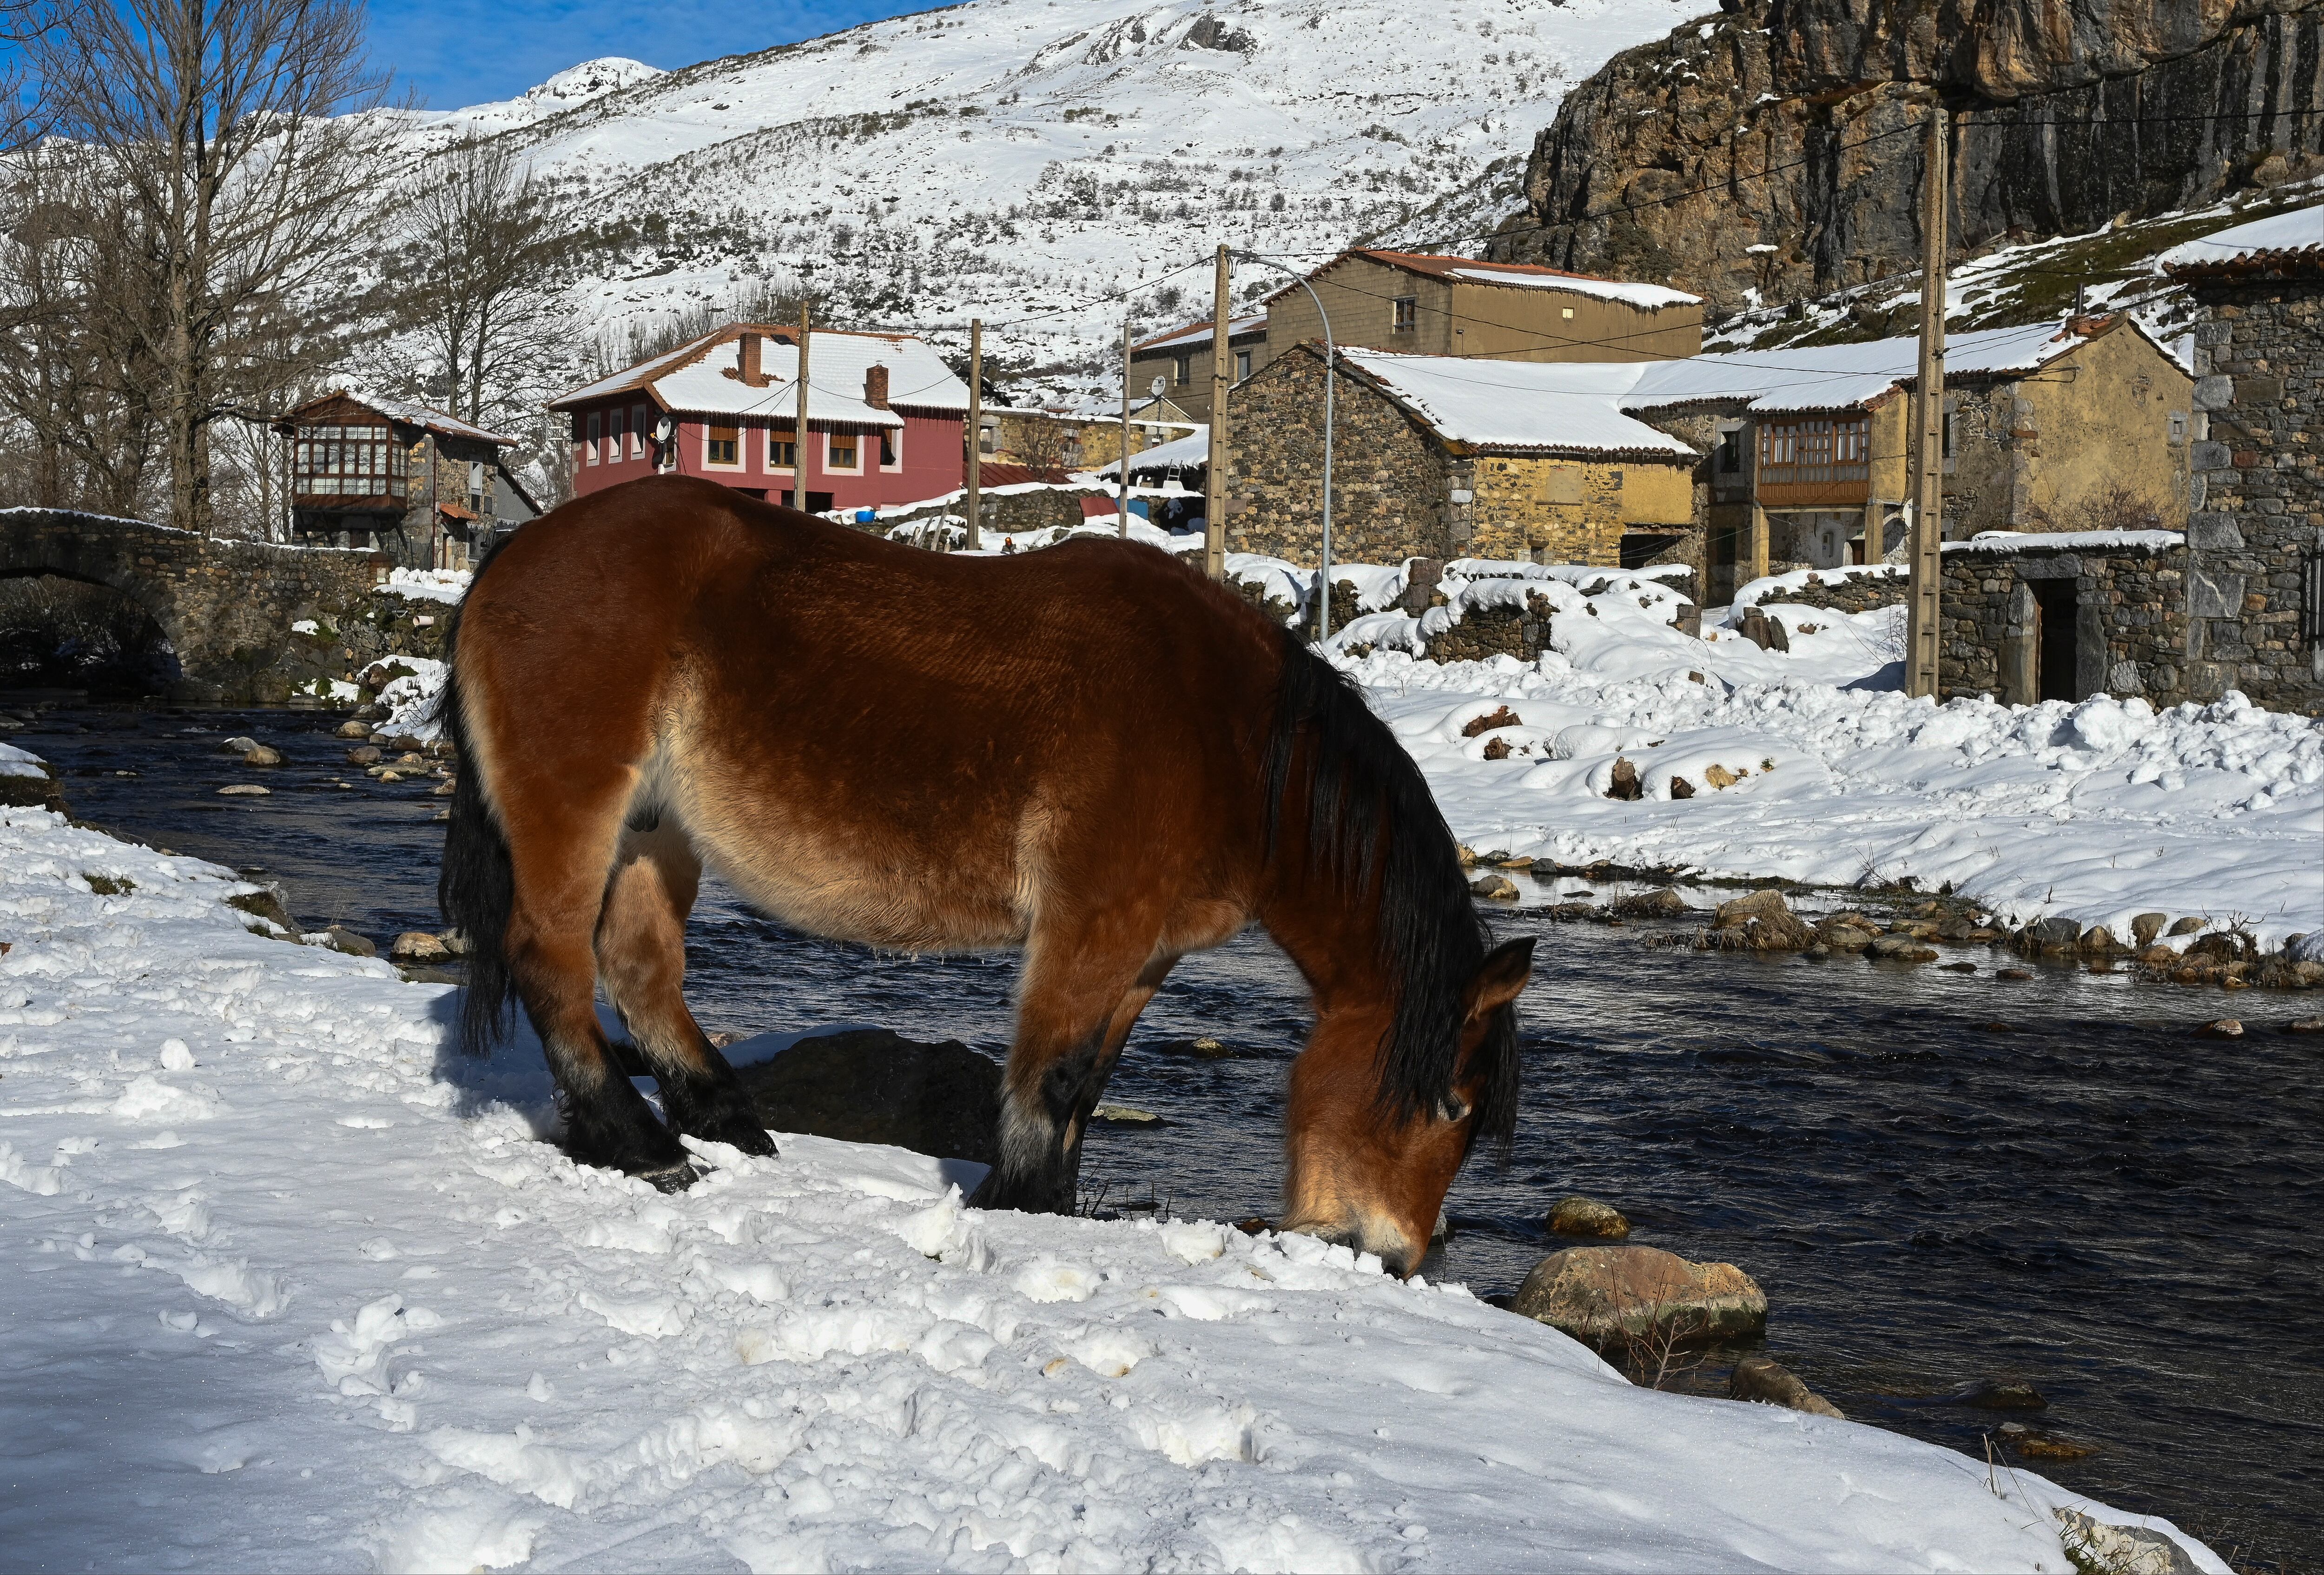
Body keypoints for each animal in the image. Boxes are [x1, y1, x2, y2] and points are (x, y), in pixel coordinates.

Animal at [437, 476, 1534, 1273]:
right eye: (1452, 1104)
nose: (1396, 1254)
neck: (1227, 735)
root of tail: (514, 555)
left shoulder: (1145, 954)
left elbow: (1089, 1083)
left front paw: (1050, 1209)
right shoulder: (1087, 928)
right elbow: (1050, 1077)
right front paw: (1014, 1206)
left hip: (653, 834)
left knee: (639, 970)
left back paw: (728, 1125)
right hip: (580, 813)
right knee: (553, 961)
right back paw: (642, 1147)